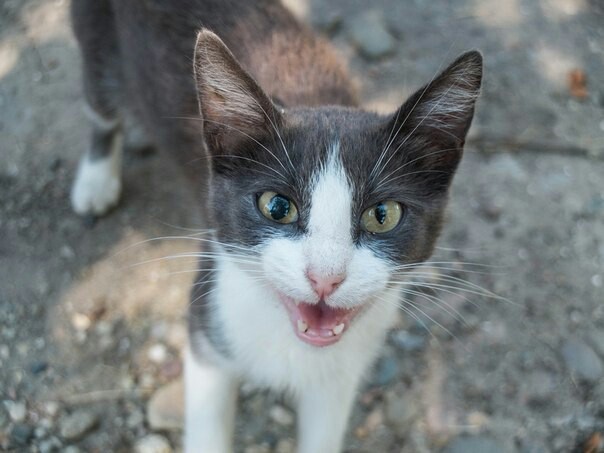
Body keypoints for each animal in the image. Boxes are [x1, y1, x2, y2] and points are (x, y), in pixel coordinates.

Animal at [69, 0, 482, 452]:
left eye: (382, 214)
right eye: (277, 206)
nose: (324, 278)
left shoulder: (341, 369)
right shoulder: (208, 322)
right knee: (99, 101)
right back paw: (96, 178)